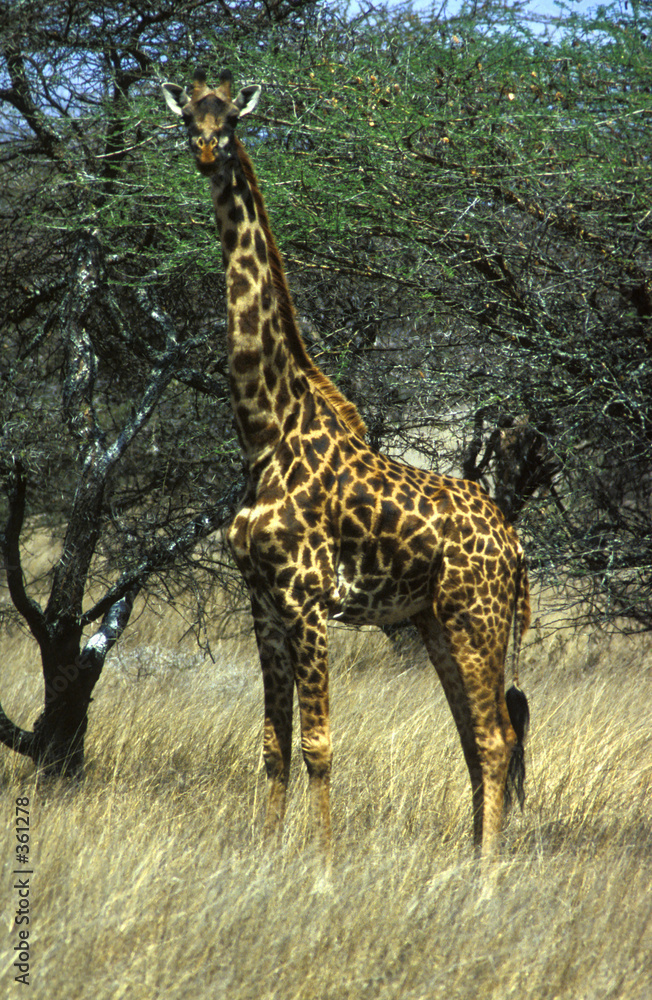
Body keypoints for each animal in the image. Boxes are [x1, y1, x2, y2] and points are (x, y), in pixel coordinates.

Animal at [162, 69, 531, 859]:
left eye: (231, 120)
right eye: (188, 119)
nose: (206, 152)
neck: (265, 430)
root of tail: (516, 544)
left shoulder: (306, 599)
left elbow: (319, 744)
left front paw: (324, 867)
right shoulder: (262, 601)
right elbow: (273, 743)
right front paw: (265, 857)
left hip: (476, 618)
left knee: (495, 737)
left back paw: (489, 872)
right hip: (434, 622)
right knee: (477, 738)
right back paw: (468, 861)